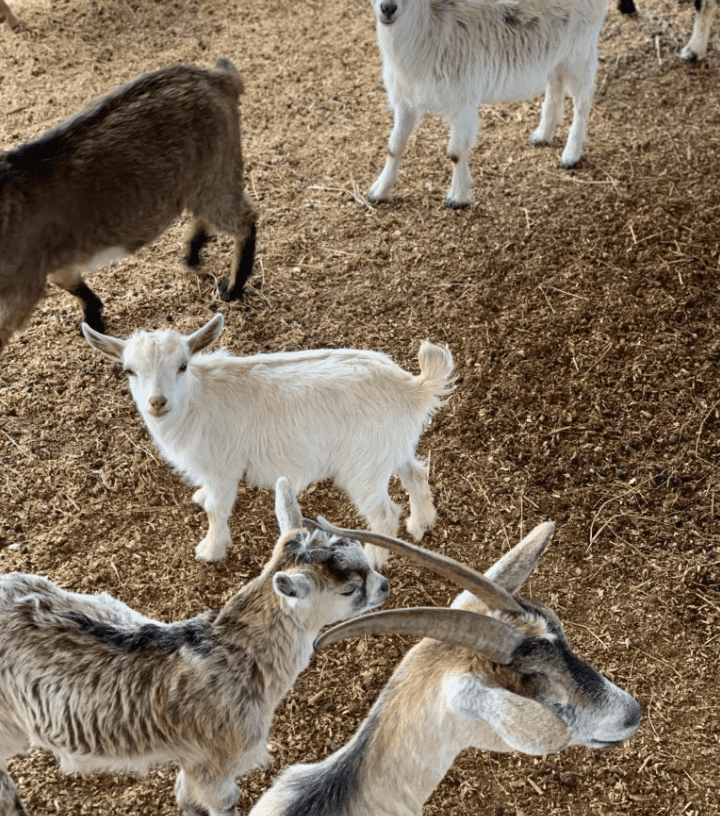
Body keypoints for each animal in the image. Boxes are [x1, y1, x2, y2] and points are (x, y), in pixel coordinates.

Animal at [0, 57, 258, 350]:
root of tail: (218, 78)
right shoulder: (52, 260)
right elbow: (71, 284)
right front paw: (93, 319)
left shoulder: (22, 284)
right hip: (199, 181)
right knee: (207, 214)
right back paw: (192, 254)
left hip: (217, 170)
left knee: (243, 220)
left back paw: (232, 288)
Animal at [83, 312, 456, 568]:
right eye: (129, 370)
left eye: (182, 366)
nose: (157, 402)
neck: (196, 400)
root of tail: (409, 386)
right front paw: (200, 498)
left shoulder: (222, 467)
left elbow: (217, 509)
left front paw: (211, 550)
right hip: (393, 446)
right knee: (415, 474)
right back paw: (422, 523)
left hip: (363, 466)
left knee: (384, 513)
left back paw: (375, 557)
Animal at [366, 0, 608, 207]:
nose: (388, 8)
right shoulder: (405, 100)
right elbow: (394, 146)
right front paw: (378, 192)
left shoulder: (462, 104)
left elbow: (455, 152)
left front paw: (457, 198)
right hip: (555, 54)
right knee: (555, 85)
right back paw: (543, 135)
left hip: (580, 50)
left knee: (582, 100)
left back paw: (570, 154)